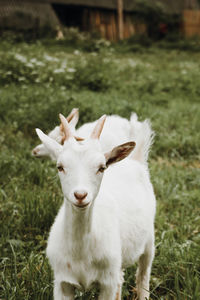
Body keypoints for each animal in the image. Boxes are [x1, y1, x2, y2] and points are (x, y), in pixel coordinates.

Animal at [36, 113, 156, 298]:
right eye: (60, 167)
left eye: (101, 167)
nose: (80, 195)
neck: (80, 252)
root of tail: (135, 160)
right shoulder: (62, 282)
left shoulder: (107, 283)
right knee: (121, 279)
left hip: (149, 239)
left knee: (143, 274)